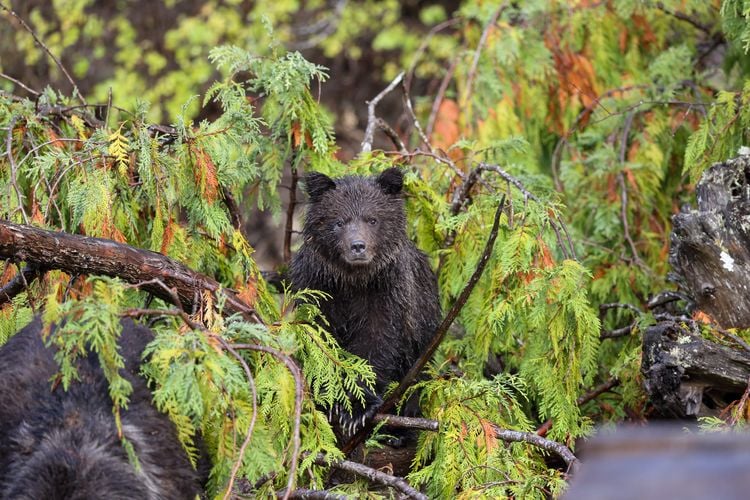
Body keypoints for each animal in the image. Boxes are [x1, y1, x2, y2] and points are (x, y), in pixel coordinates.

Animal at [290, 167, 441, 437]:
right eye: (339, 221)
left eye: (372, 219)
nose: (357, 246)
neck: (354, 281)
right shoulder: (318, 287)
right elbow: (320, 340)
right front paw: (329, 398)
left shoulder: (387, 294)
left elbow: (377, 342)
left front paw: (357, 408)